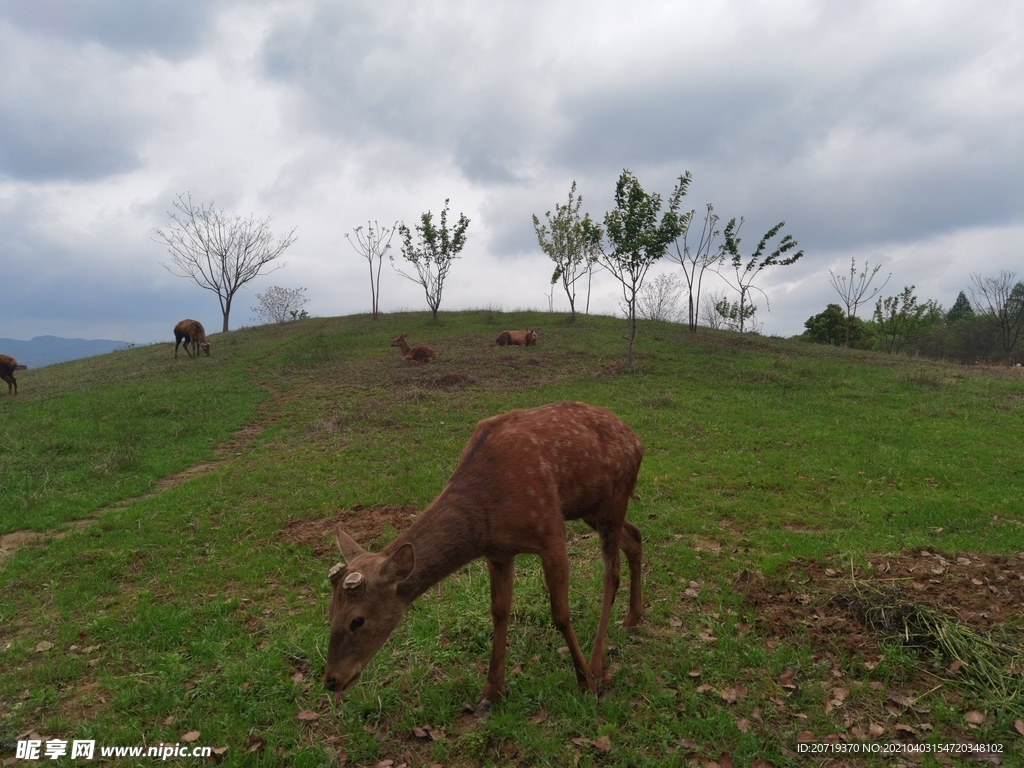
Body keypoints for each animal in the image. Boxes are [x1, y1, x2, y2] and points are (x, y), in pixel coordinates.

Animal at [323, 403, 643, 708]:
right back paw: (633, 617)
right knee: (635, 537)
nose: (331, 680)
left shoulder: (551, 531)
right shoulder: (498, 553)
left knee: (611, 573)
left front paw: (584, 683)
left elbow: (560, 615)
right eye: (329, 611)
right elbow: (499, 612)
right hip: (591, 507)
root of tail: (637, 440)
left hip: (613, 499)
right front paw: (491, 691)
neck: (483, 520)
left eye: (357, 620)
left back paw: (597, 665)